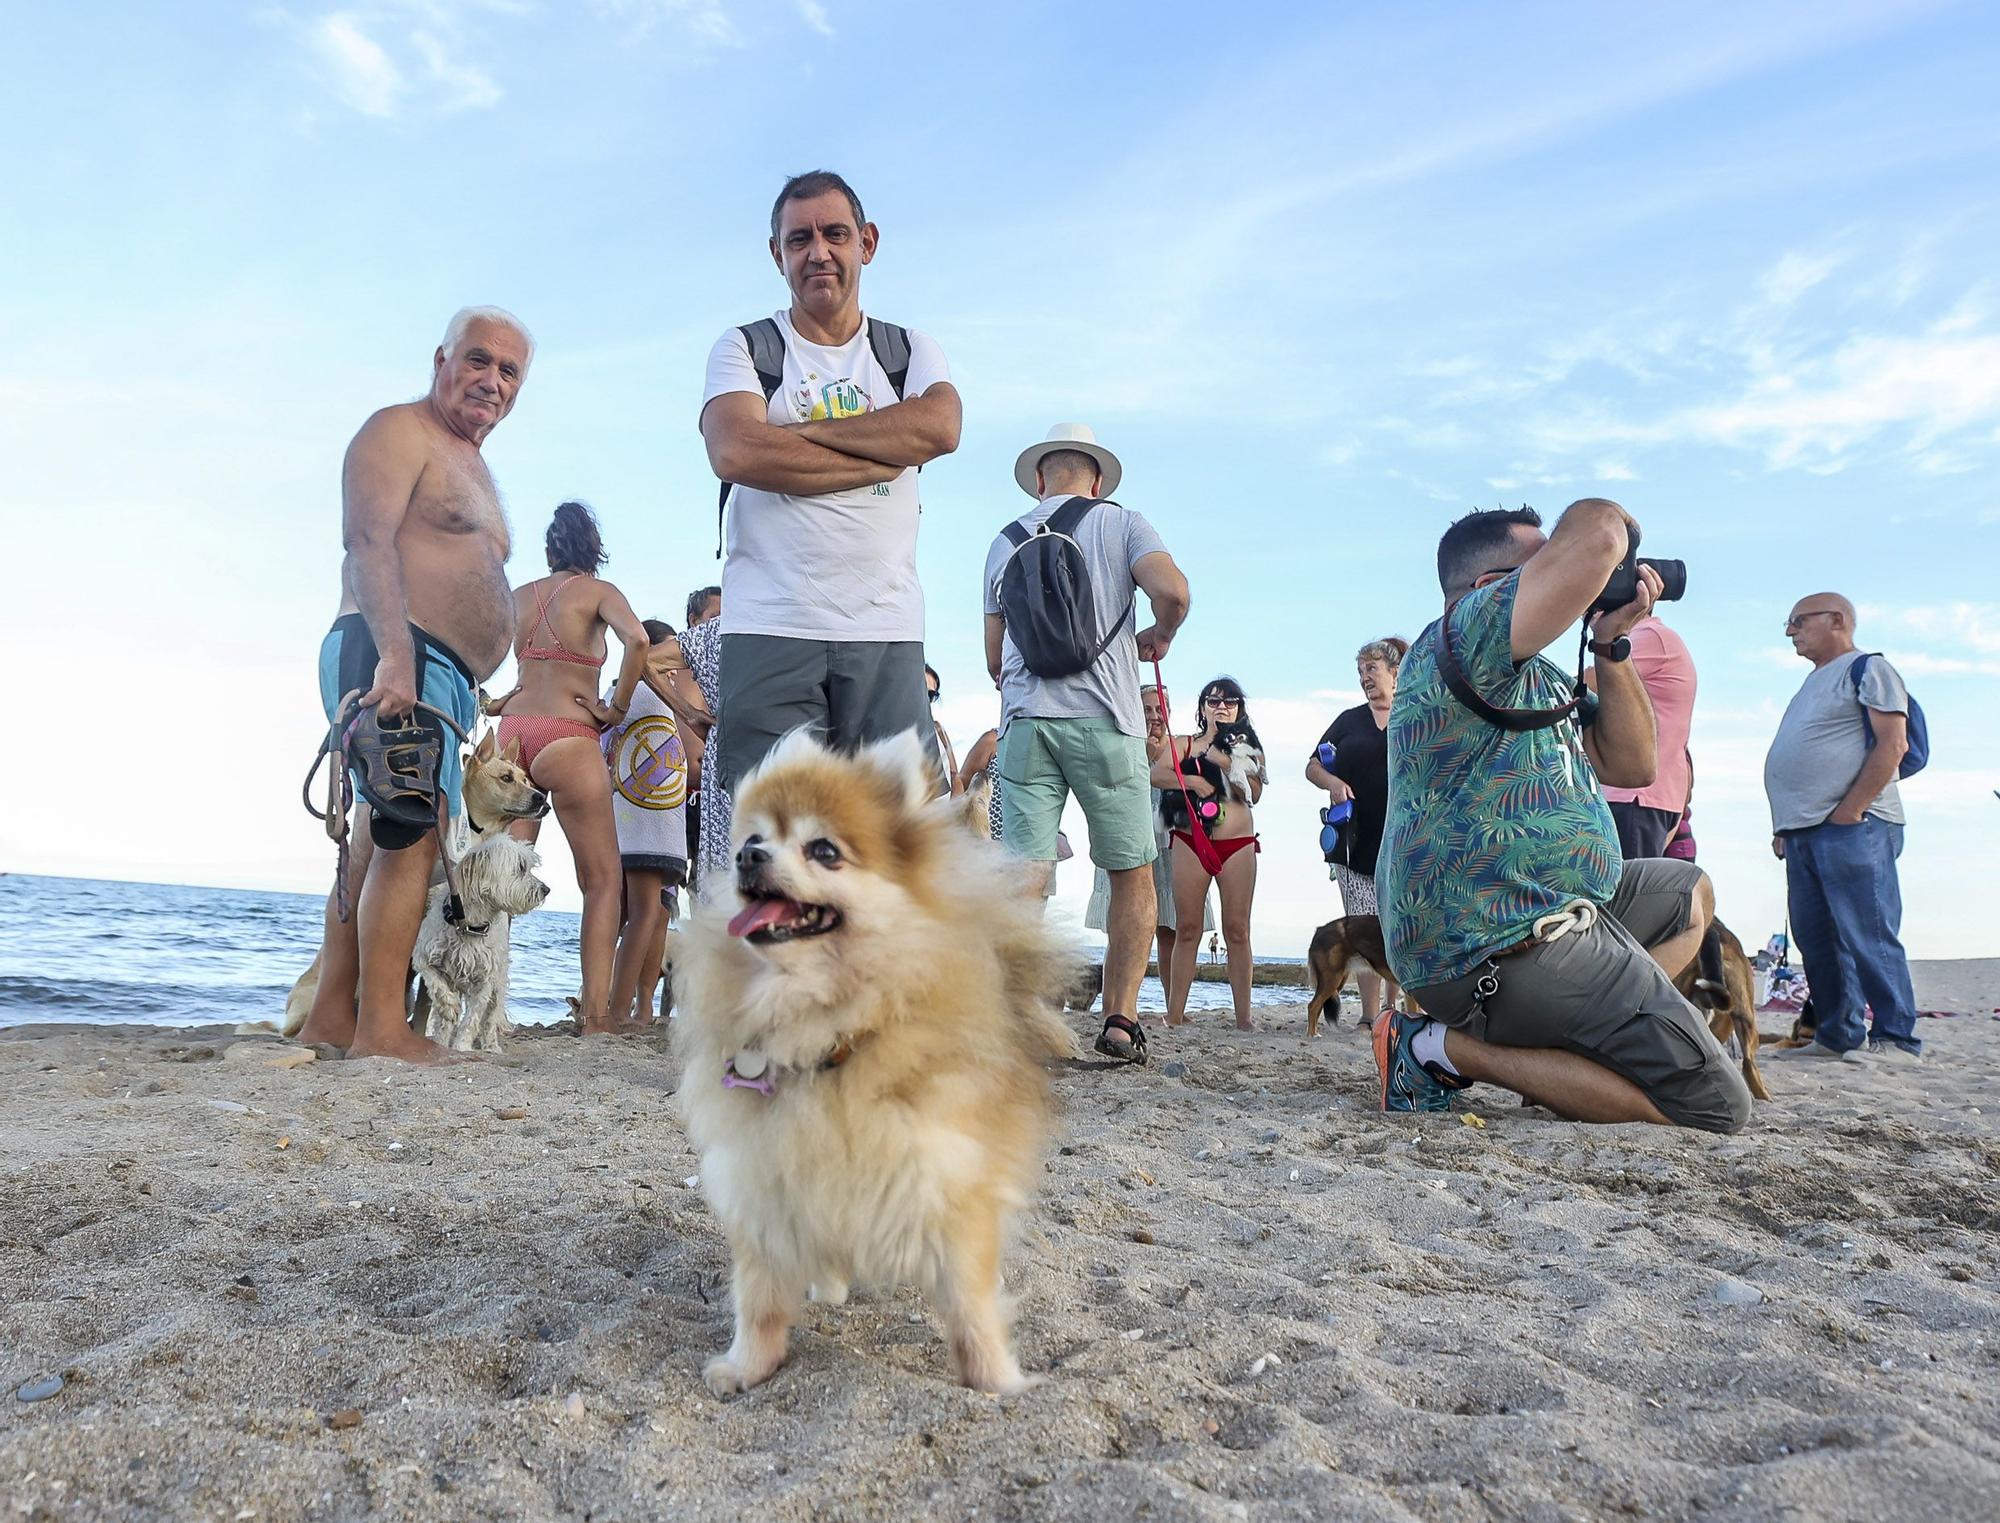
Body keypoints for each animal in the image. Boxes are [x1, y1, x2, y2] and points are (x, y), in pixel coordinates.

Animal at [676, 731, 1088, 1391]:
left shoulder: (949, 1178)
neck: (829, 1029)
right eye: (752, 838)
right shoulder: (767, 1182)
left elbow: (971, 1304)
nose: (748, 856)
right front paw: (748, 1367)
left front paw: (997, 1383)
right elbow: (759, 1296)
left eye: (823, 850)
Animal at [1304, 907, 1416, 1039]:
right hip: (1331, 979)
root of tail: (1320, 930)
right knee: (1312, 1006)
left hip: (1337, 981)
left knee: (1318, 1007)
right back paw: (1312, 1035)